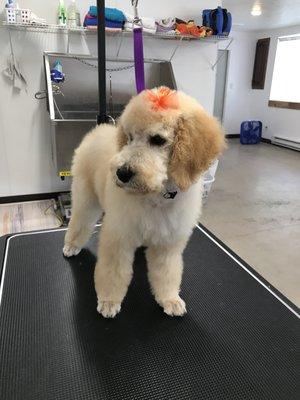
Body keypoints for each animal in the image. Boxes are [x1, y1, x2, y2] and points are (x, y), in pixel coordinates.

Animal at [63, 87, 225, 318]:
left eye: (158, 139)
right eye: (129, 137)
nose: (122, 173)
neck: (157, 195)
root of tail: (98, 130)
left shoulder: (168, 244)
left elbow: (167, 273)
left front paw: (169, 298)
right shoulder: (118, 238)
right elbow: (113, 272)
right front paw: (109, 300)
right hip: (86, 198)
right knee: (79, 222)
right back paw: (71, 245)